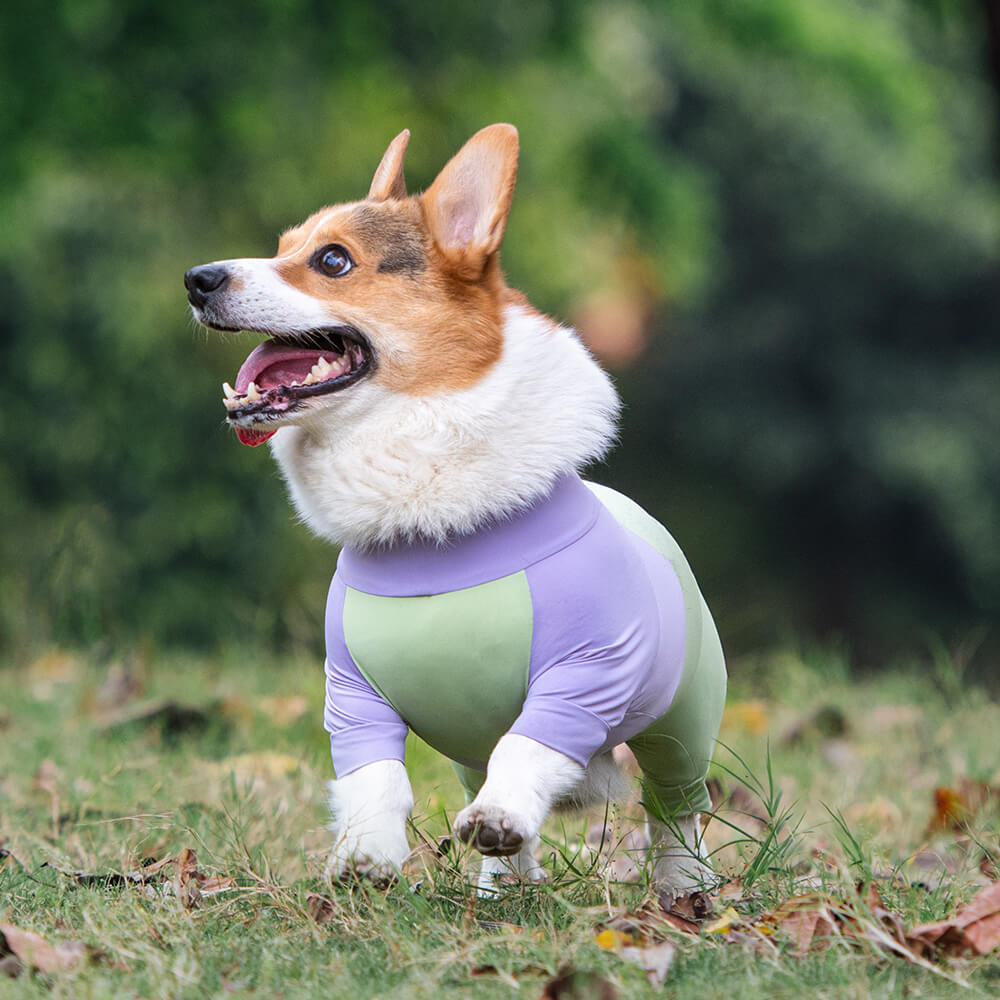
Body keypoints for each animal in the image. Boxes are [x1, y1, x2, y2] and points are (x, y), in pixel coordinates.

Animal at [184, 125, 724, 900]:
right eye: (284, 245)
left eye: (332, 260)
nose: (197, 279)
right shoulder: (352, 696)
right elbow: (375, 778)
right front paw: (367, 855)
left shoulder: (588, 673)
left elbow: (528, 748)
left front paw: (500, 816)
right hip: (469, 743)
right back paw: (505, 882)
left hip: (684, 718)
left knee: (673, 802)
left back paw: (684, 884)